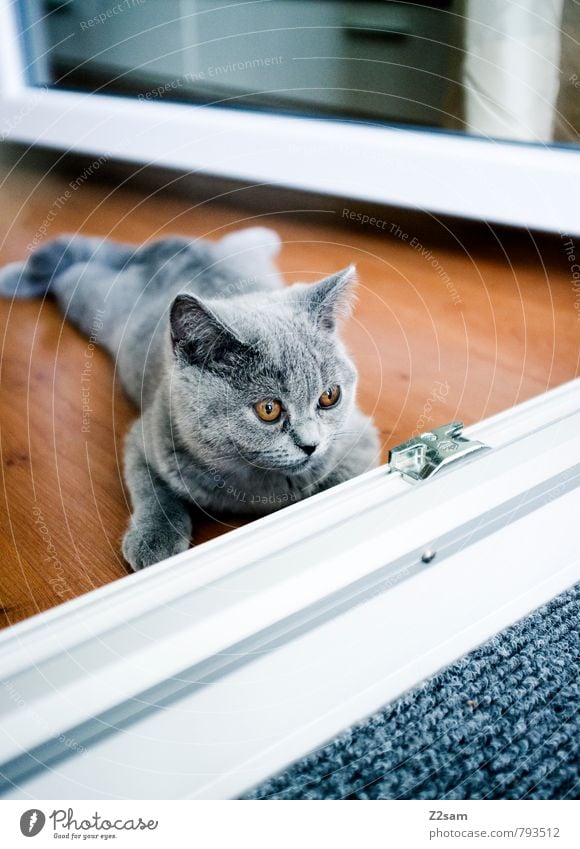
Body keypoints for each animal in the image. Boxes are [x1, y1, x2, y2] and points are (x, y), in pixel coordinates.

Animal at [0, 229, 378, 568]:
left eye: (329, 396)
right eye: (268, 409)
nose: (311, 445)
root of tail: (170, 246)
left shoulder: (358, 437)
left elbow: (341, 477)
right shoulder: (147, 436)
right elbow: (152, 490)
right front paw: (154, 540)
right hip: (95, 303)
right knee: (74, 272)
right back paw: (15, 277)